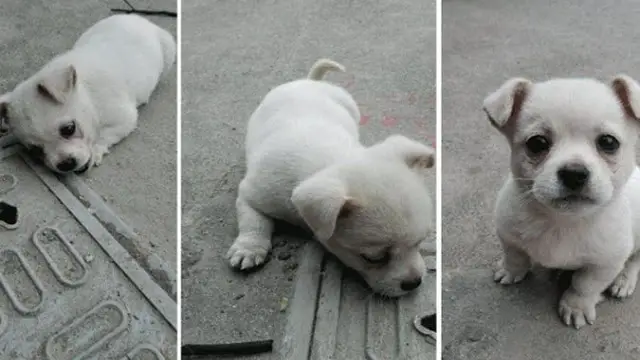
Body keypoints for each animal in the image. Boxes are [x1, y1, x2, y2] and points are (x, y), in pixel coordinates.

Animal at [0, 15, 175, 174]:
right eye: (35, 149)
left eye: (69, 129)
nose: (65, 164)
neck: (87, 95)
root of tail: (138, 18)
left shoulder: (124, 119)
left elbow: (105, 135)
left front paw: (96, 150)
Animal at [226, 58, 436, 296]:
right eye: (373, 258)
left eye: (420, 242)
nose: (414, 283)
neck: (330, 160)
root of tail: (310, 81)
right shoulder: (253, 194)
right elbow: (254, 220)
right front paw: (249, 248)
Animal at [482, 76, 640, 330]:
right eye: (537, 143)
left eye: (608, 142)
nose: (574, 173)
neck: (563, 221)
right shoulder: (508, 234)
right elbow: (515, 256)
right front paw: (510, 270)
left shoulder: (605, 263)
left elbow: (584, 286)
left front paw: (576, 307)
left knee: (635, 259)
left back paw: (624, 280)